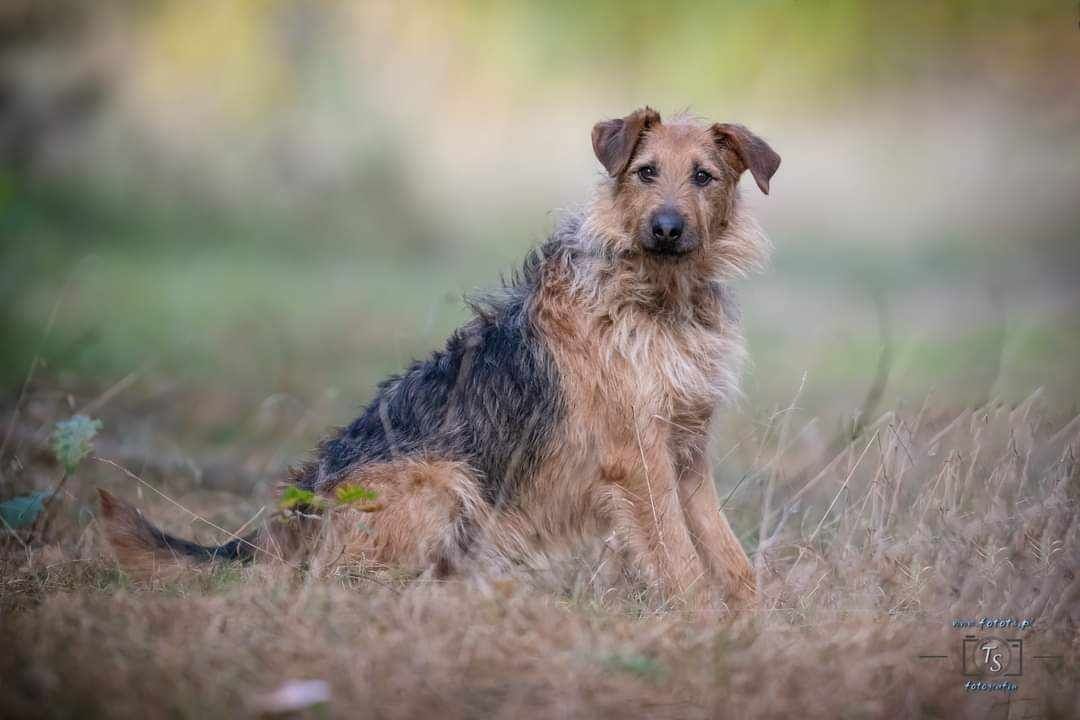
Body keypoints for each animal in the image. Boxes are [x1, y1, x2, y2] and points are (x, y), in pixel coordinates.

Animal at [101, 106, 777, 613]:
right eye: (645, 171)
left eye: (704, 176)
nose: (666, 228)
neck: (660, 299)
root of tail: (294, 512)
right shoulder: (638, 459)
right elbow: (679, 557)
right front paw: (701, 623)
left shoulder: (686, 453)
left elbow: (727, 553)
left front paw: (751, 622)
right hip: (445, 480)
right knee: (350, 584)